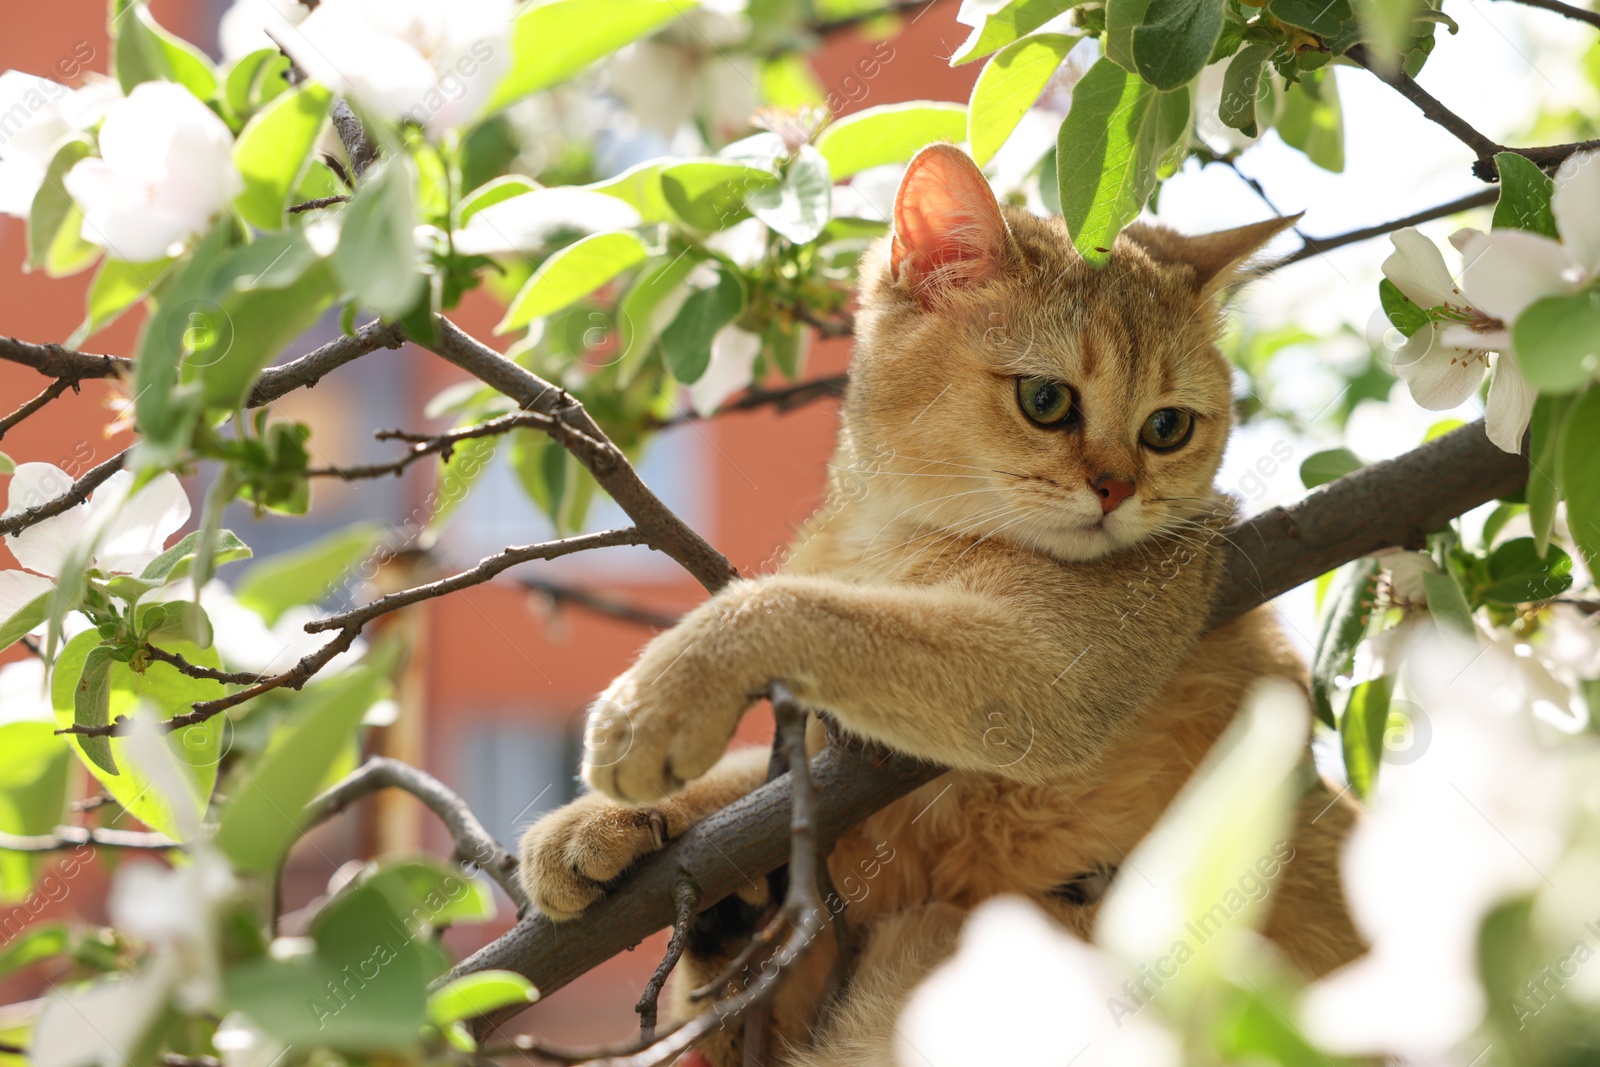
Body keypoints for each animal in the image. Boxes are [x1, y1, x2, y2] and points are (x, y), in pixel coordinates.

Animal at [515, 143, 1363, 1067]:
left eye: (1167, 427)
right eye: (1046, 400)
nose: (1118, 488)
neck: (894, 535)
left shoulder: (1047, 672)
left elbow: (796, 607)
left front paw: (653, 707)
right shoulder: (842, 773)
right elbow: (750, 779)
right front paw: (597, 824)